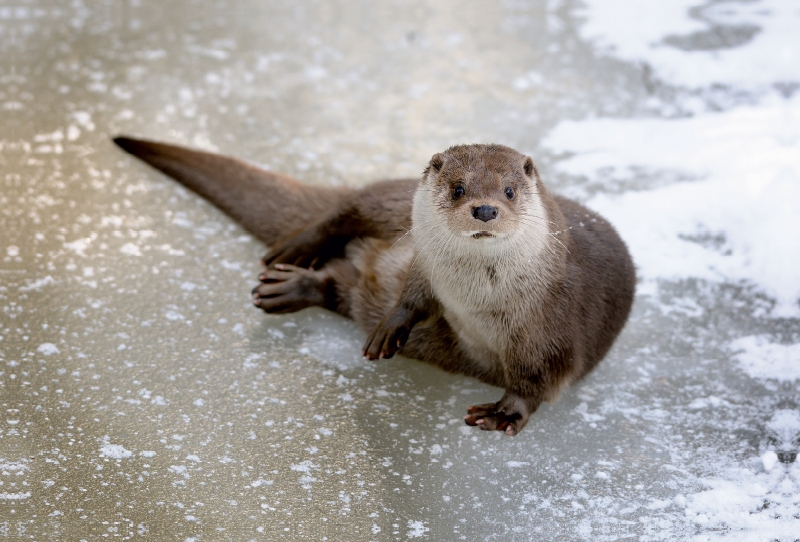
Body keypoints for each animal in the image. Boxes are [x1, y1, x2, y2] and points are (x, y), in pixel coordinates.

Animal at [114, 137, 636, 438]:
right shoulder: (425, 266)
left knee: (345, 285)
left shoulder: (553, 323)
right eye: (459, 188)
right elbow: (415, 296)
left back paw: (293, 288)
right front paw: (392, 326)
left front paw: (506, 414)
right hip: (393, 202)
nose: (486, 210)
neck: (478, 292)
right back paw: (296, 251)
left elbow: (541, 377)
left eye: (509, 191)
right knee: (350, 207)